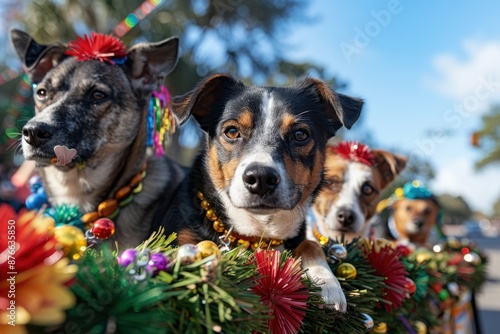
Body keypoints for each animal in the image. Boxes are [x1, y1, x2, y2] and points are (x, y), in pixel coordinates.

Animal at [154, 73, 362, 310]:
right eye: (231, 131)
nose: (261, 178)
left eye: (300, 134)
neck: (259, 231)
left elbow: (311, 244)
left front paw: (326, 282)